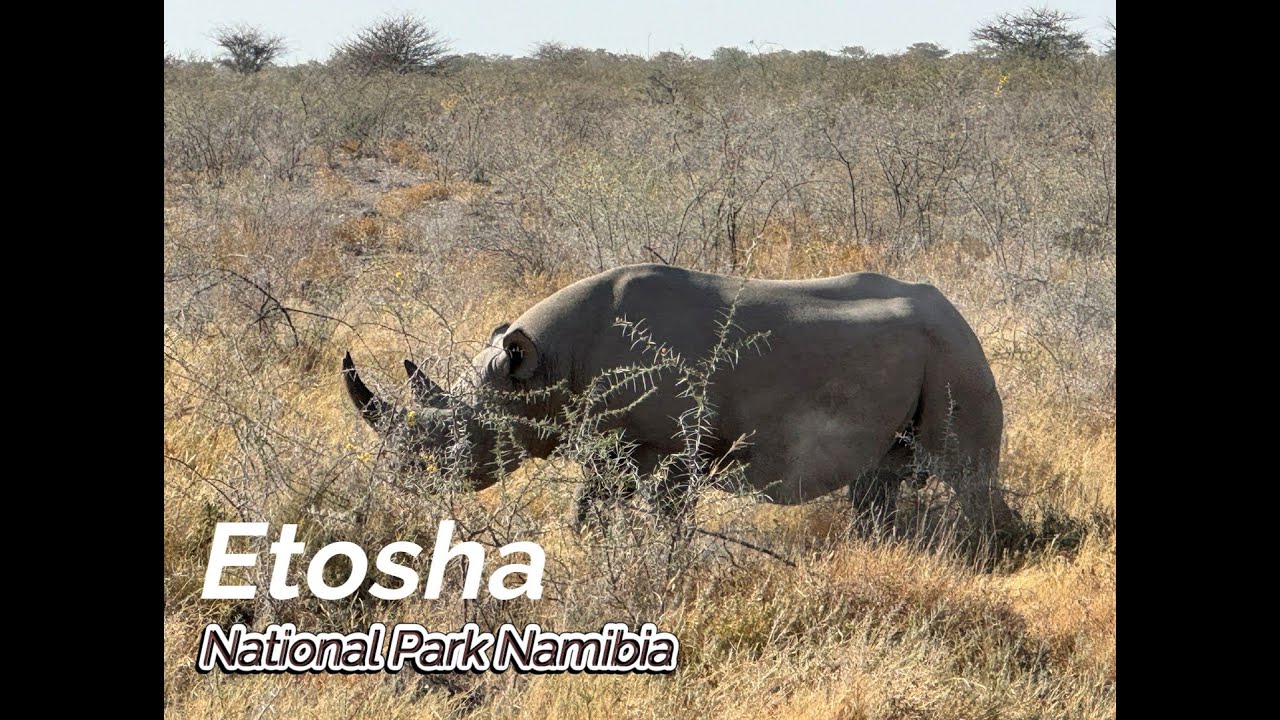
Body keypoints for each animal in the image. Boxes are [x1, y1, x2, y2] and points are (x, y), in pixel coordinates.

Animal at [342, 264, 1018, 539]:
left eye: (453, 438)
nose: (399, 479)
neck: (546, 363)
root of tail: (957, 313)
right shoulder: (605, 441)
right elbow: (590, 509)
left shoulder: (669, 447)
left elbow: (664, 514)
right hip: (928, 352)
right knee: (879, 477)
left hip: (955, 354)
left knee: (964, 472)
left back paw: (982, 554)